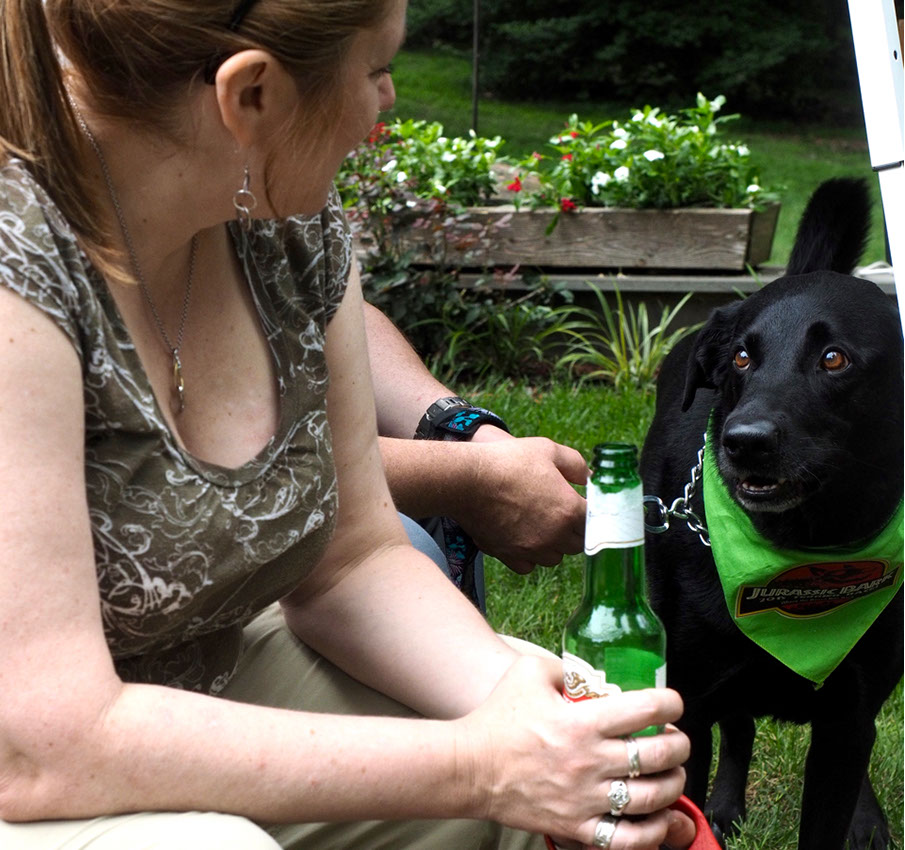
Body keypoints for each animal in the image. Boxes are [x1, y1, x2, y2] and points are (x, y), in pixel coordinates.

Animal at [641, 178, 903, 850]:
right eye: (740, 359)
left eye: (834, 358)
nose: (744, 442)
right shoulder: (689, 702)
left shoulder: (847, 717)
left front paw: (858, 819)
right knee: (741, 727)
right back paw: (727, 806)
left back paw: (868, 820)